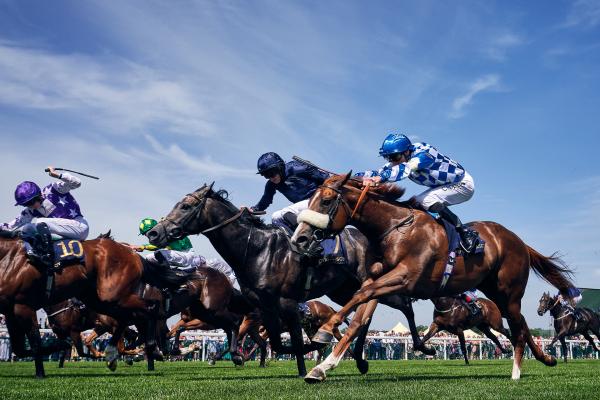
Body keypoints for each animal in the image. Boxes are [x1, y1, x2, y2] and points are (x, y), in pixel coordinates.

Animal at [146, 184, 432, 378]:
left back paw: (421, 346)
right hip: (343, 291)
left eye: (185, 206)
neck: (256, 249)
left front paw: (307, 359)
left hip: (369, 281)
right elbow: (277, 343)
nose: (154, 232)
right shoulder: (264, 307)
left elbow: (292, 340)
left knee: (403, 304)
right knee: (367, 314)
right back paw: (362, 359)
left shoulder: (286, 301)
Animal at [290, 173, 576, 382]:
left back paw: (516, 371)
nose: (299, 238)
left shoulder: (405, 277)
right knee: (523, 325)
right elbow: (359, 316)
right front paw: (323, 365)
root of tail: (519, 242)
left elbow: (361, 297)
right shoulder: (378, 278)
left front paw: (325, 330)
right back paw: (546, 359)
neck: (395, 228)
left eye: (326, 201)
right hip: (498, 293)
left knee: (517, 328)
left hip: (510, 293)